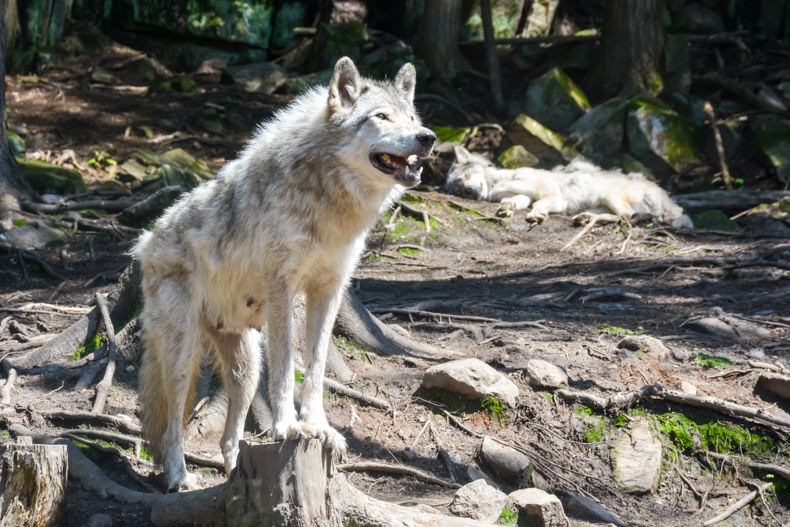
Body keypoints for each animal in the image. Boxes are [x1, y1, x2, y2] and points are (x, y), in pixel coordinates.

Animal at [133, 57, 436, 490]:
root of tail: (144, 243)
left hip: (245, 367)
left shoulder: (329, 291)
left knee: (230, 437)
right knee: (173, 424)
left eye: (412, 118)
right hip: (183, 357)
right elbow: (286, 370)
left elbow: (315, 368)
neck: (330, 200)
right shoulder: (282, 288)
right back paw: (179, 476)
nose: (428, 138)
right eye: (381, 117)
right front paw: (288, 427)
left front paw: (320, 428)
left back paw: (235, 480)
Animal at [446, 145, 692, 228]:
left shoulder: (551, 195)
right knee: (620, 217)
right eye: (457, 190)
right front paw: (506, 208)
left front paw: (537, 216)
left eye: (465, 176)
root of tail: (667, 198)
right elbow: (514, 201)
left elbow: (537, 205)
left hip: (609, 196)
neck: (498, 184)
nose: (468, 191)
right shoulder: (523, 196)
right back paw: (585, 218)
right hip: (601, 204)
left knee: (629, 217)